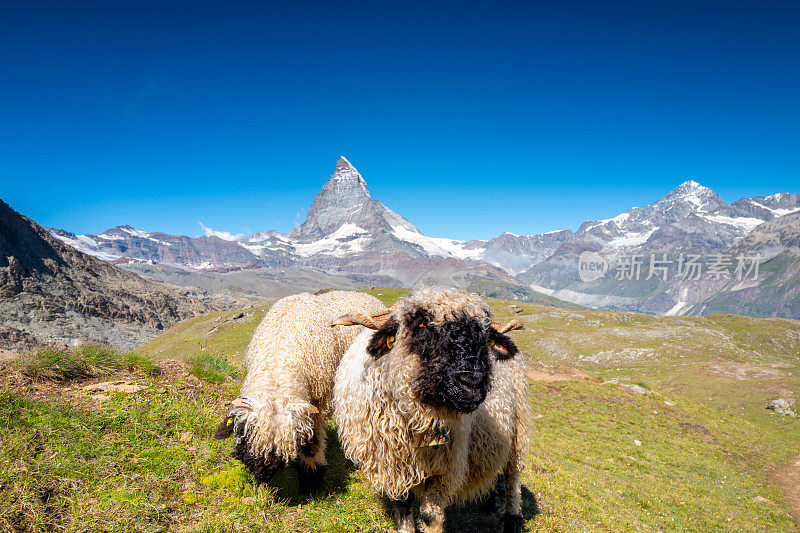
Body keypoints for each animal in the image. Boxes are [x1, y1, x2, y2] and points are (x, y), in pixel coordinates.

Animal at [214, 290, 386, 490]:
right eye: (245, 440)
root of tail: (364, 294)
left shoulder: (318, 401)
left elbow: (315, 438)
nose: (261, 477)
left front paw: (312, 474)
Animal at [332, 286, 532, 532]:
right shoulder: (393, 465)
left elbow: (430, 516)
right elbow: (402, 506)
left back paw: (512, 517)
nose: (472, 382)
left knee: (513, 475)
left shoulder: (443, 469)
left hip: (518, 426)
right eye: (420, 325)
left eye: (485, 334)